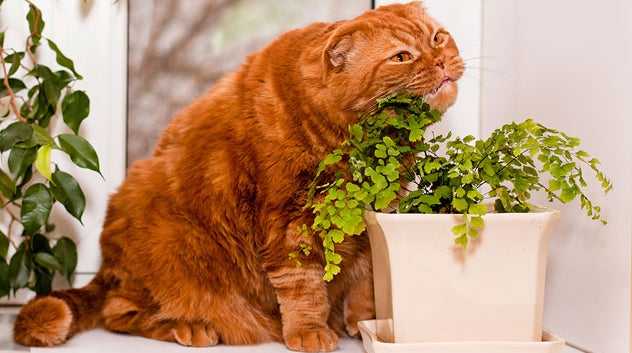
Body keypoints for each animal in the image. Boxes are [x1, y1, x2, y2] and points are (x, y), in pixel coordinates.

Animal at [12, 2, 462, 350]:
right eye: (402, 57)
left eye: (437, 38)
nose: (440, 60)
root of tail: (105, 268)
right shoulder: (288, 223)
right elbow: (303, 287)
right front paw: (310, 332)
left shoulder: (371, 218)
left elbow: (368, 279)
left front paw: (363, 321)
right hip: (170, 240)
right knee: (120, 312)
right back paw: (191, 327)